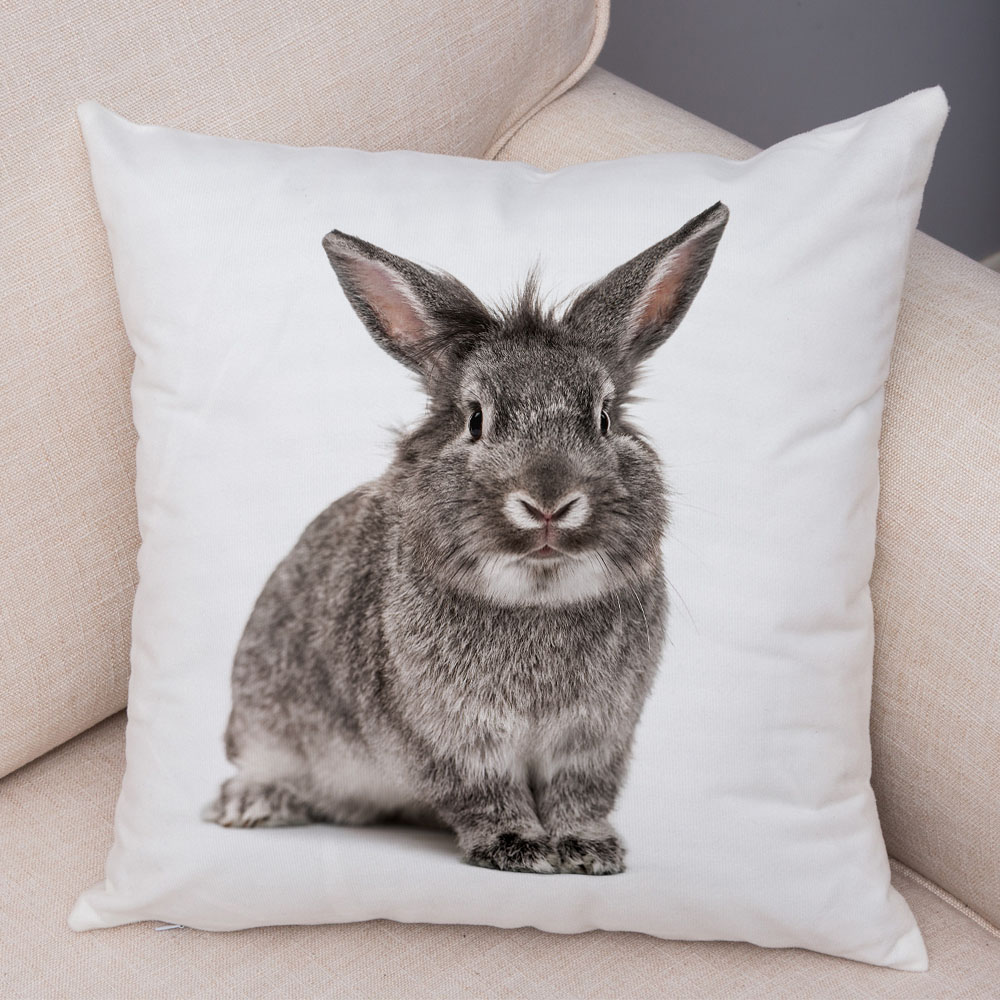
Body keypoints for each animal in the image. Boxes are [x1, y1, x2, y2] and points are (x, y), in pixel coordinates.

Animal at [203, 202, 729, 875]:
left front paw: (589, 851)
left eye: (604, 417)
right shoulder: (453, 740)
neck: (536, 599)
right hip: (264, 720)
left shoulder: (595, 739)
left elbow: (580, 795)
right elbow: (486, 793)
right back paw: (253, 804)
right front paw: (516, 848)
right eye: (476, 419)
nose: (549, 502)